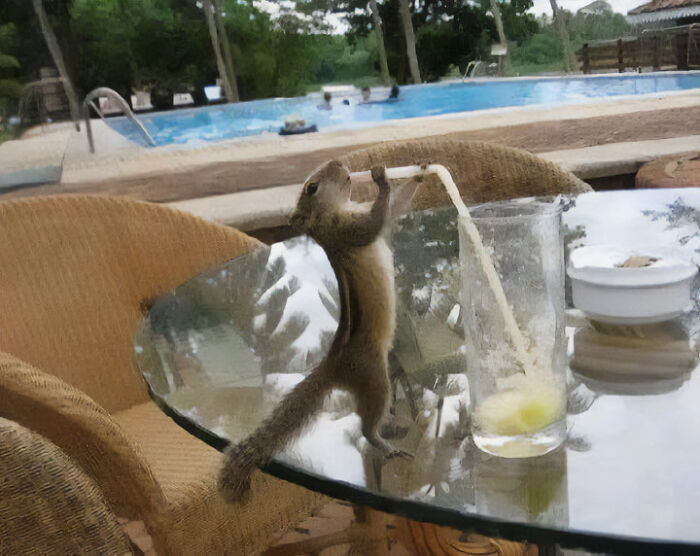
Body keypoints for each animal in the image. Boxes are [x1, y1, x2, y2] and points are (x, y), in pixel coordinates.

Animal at [218, 159, 417, 504]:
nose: (339, 162)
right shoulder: (345, 229)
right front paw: (382, 178)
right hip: (376, 378)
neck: (329, 215)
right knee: (367, 425)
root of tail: (332, 366)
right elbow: (375, 222)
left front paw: (417, 175)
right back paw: (385, 445)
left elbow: (396, 209)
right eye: (311, 187)